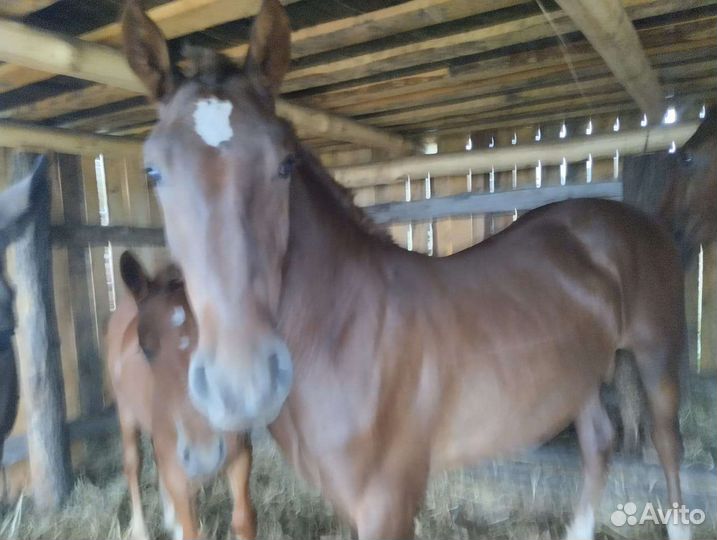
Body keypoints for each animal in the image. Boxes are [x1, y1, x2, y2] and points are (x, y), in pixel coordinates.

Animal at [107, 251, 256, 540]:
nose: (205, 454)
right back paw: (141, 529)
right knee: (133, 464)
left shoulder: (241, 452)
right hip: (126, 415)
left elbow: (244, 519)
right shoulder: (177, 469)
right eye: (145, 348)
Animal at [121, 2, 691, 538]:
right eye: (152, 171)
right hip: (580, 373)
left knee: (667, 442)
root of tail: (639, 219)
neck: (342, 331)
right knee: (598, 441)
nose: (242, 385)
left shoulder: (388, 503)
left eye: (285, 163)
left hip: (656, 353)